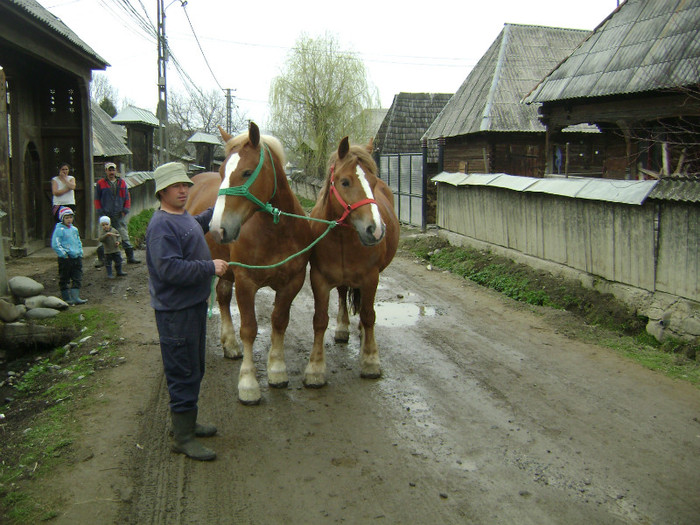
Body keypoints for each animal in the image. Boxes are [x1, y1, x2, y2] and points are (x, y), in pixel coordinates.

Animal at [186, 121, 312, 404]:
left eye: (246, 172)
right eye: (222, 171)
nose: (217, 229)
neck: (276, 231)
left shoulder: (292, 283)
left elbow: (279, 321)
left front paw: (277, 370)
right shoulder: (245, 282)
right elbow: (249, 329)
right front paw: (248, 383)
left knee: (222, 296)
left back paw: (230, 344)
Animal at [302, 137, 396, 386]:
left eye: (373, 181)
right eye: (345, 182)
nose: (375, 230)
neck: (343, 236)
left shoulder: (371, 278)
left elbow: (369, 315)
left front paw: (370, 361)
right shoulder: (319, 278)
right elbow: (319, 319)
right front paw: (315, 368)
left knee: (364, 308)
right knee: (343, 293)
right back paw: (343, 329)